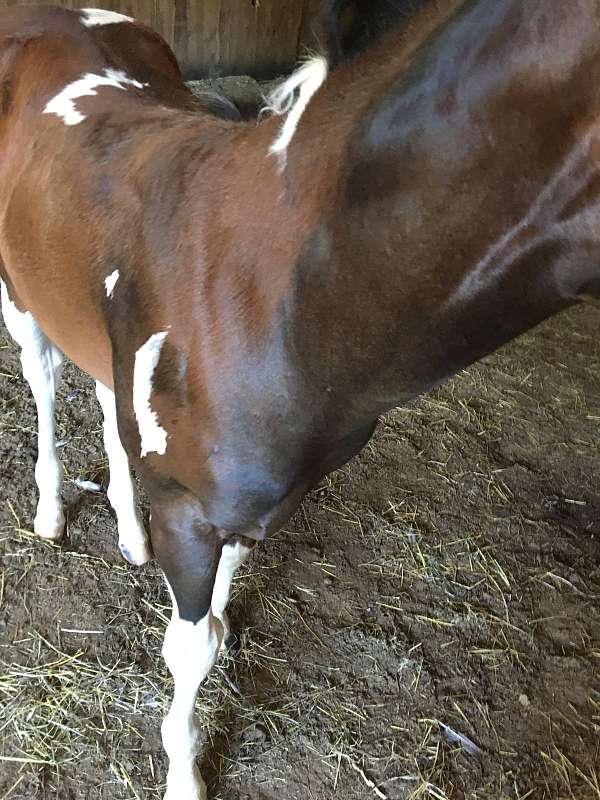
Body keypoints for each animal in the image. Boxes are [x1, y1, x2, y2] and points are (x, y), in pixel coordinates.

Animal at [1, 1, 600, 798]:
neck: (275, 290)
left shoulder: (260, 501)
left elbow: (218, 614)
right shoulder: (189, 511)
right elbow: (189, 650)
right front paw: (185, 774)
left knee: (103, 394)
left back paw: (129, 532)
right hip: (19, 292)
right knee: (41, 379)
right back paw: (49, 512)